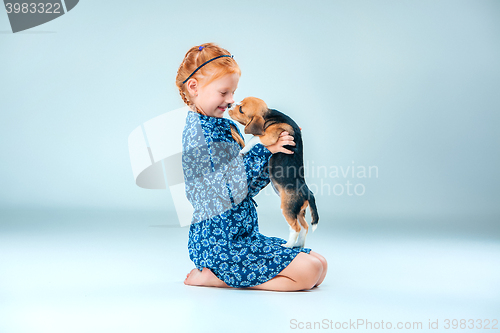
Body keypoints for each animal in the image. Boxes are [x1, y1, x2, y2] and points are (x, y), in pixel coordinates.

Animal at [229, 96, 318, 246]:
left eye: (241, 109)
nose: (229, 105)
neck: (269, 115)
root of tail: (308, 192)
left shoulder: (268, 137)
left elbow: (254, 138)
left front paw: (243, 151)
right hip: (299, 211)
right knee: (305, 226)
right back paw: (298, 245)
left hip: (288, 209)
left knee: (296, 228)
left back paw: (288, 245)